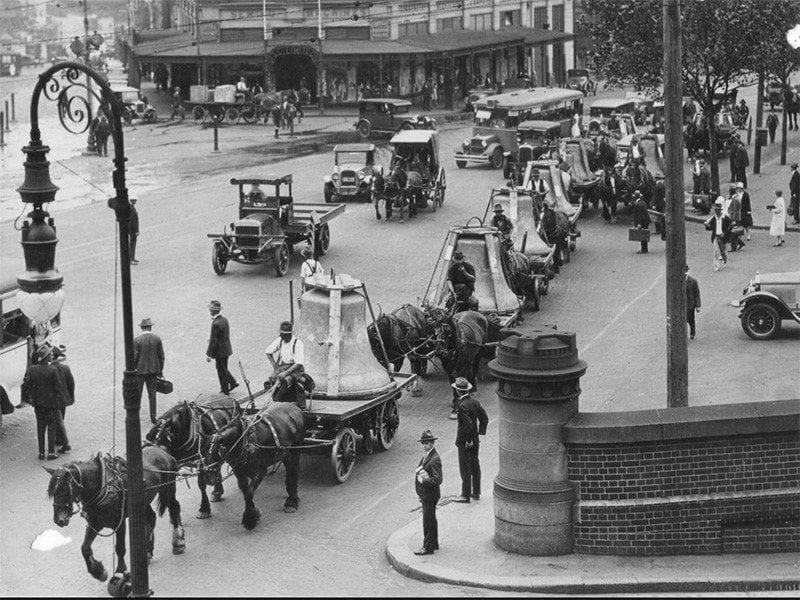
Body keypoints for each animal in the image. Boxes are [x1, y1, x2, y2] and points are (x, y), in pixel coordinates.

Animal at [45, 446, 186, 580]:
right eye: (52, 491)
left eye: (64, 488)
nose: (58, 520)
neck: (104, 487)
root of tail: (162, 451)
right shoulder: (95, 523)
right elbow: (84, 548)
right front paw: (98, 571)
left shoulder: (120, 522)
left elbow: (120, 548)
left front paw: (120, 570)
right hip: (142, 502)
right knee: (151, 518)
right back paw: (148, 551)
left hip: (167, 490)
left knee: (174, 507)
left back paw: (178, 542)